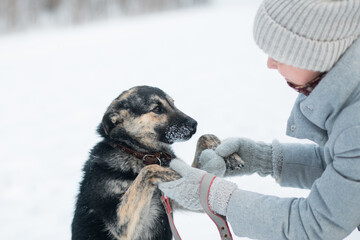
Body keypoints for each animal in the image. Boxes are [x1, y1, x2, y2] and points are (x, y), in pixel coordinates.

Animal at [71, 86, 198, 240]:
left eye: (173, 103)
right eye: (157, 109)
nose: (194, 124)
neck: (133, 151)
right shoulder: (120, 223)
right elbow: (149, 170)